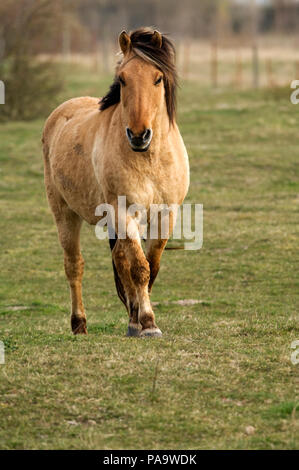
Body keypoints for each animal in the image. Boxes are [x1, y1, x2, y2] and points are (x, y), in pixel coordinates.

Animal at [42, 27, 190, 338]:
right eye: (122, 79)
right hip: (64, 213)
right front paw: (148, 322)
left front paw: (139, 320)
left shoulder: (166, 215)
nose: (139, 135)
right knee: (74, 265)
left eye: (158, 78)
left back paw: (130, 319)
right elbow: (139, 268)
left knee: (119, 259)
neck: (149, 159)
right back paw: (79, 324)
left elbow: (150, 266)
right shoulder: (124, 212)